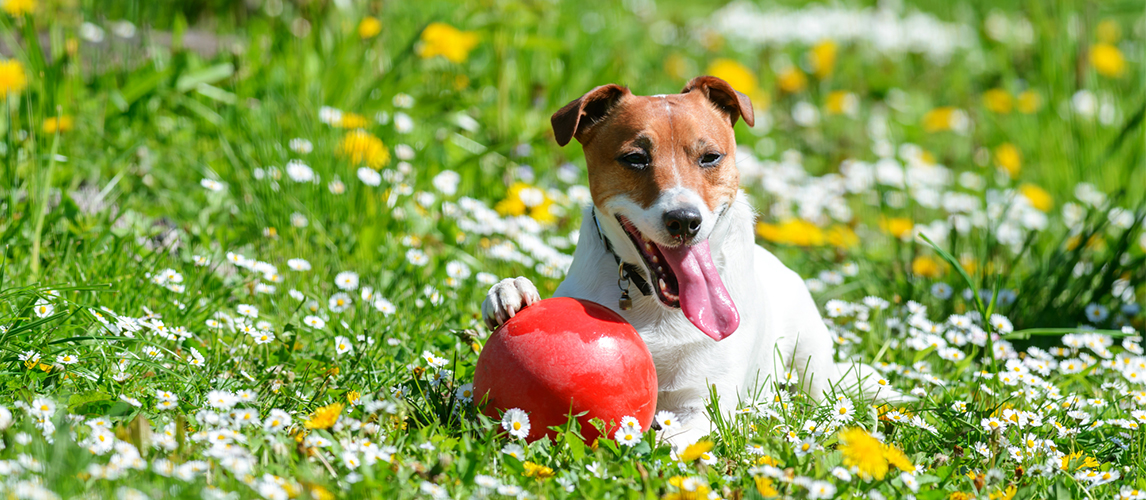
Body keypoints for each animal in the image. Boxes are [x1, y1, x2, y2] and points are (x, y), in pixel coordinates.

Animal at [479, 76, 898, 447]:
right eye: (635, 159)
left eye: (710, 157)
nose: (684, 220)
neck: (654, 304)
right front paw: (512, 291)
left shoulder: (703, 405)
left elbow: (672, 438)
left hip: (811, 360)